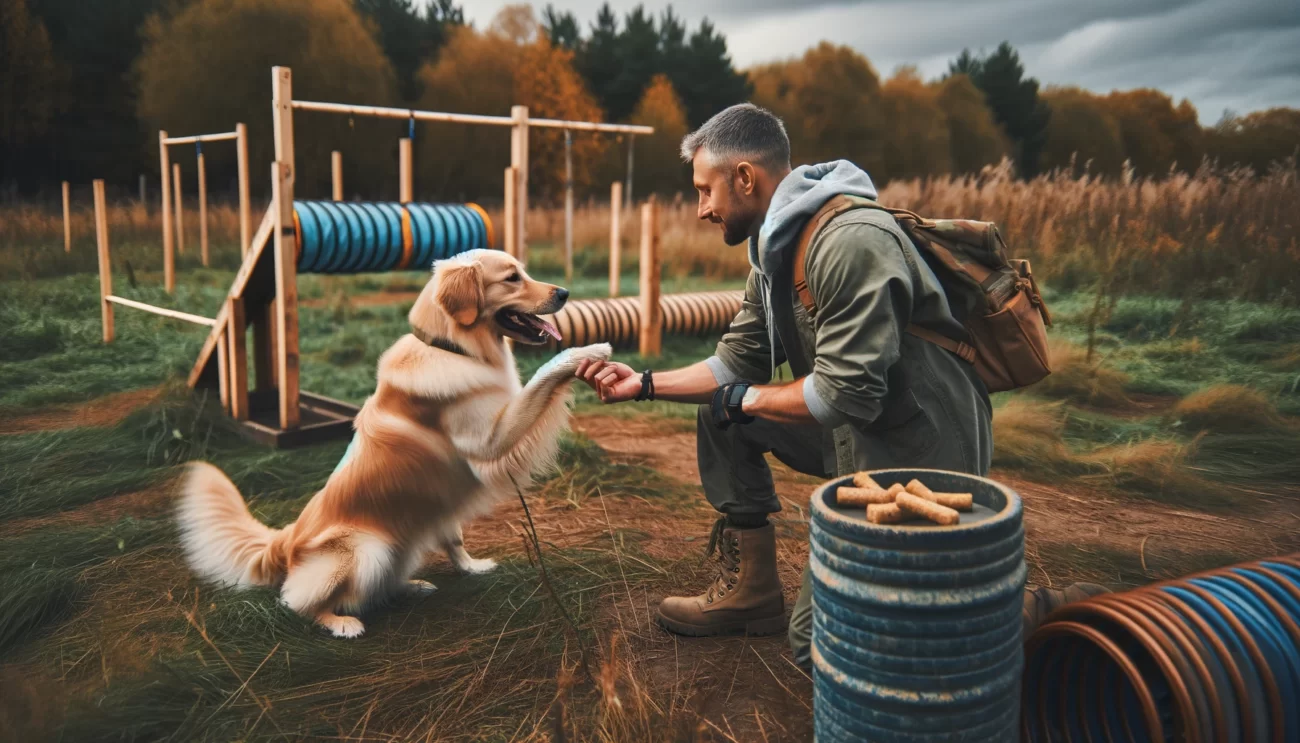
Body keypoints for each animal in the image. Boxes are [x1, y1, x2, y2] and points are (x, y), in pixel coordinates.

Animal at [174, 246, 613, 636]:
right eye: (511, 278)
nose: (565, 294)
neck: (452, 349)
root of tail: (286, 538)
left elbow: (455, 538)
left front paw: (472, 569)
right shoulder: (490, 439)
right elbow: (543, 375)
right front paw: (587, 350)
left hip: (407, 534)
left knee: (380, 584)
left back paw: (411, 587)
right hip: (365, 550)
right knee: (296, 602)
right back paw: (340, 623)